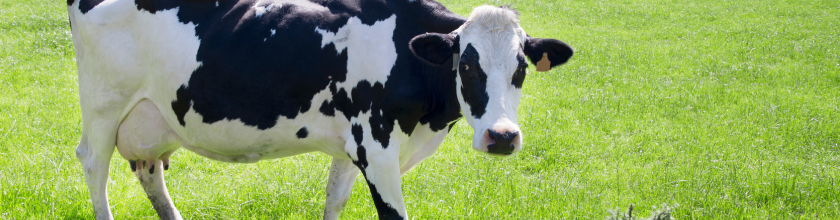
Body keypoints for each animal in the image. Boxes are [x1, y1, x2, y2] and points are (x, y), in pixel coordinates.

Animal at [69, 0, 576, 218]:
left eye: (521, 68)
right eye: (466, 65)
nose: (502, 136)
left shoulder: (351, 147)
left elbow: (334, 199)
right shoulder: (378, 147)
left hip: (152, 119)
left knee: (150, 171)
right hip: (103, 107)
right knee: (94, 166)